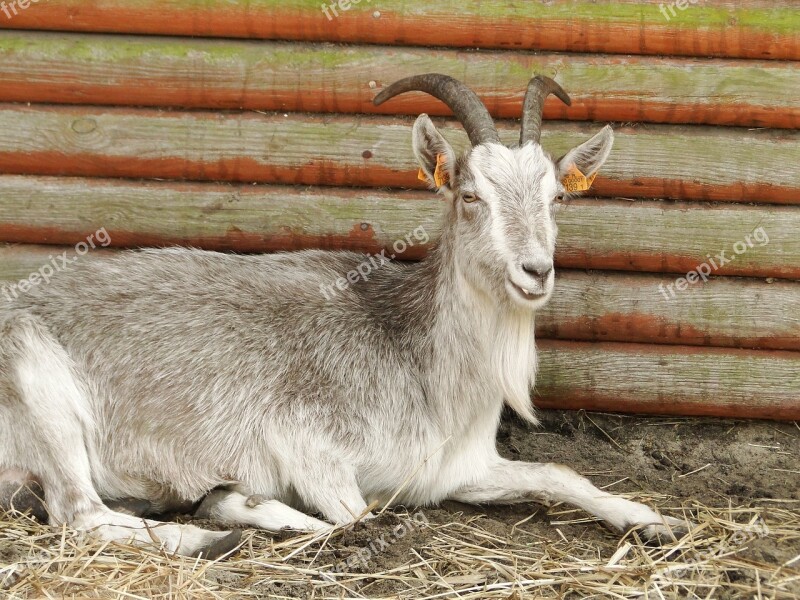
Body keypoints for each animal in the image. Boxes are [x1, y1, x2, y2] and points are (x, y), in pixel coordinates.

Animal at [0, 74, 688, 556]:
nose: (535, 271)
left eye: (555, 199)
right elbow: (360, 515)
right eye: (471, 197)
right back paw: (216, 533)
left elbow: (559, 472)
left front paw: (655, 519)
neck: (417, 355)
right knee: (80, 513)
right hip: (39, 387)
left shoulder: (457, 467)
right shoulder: (308, 444)